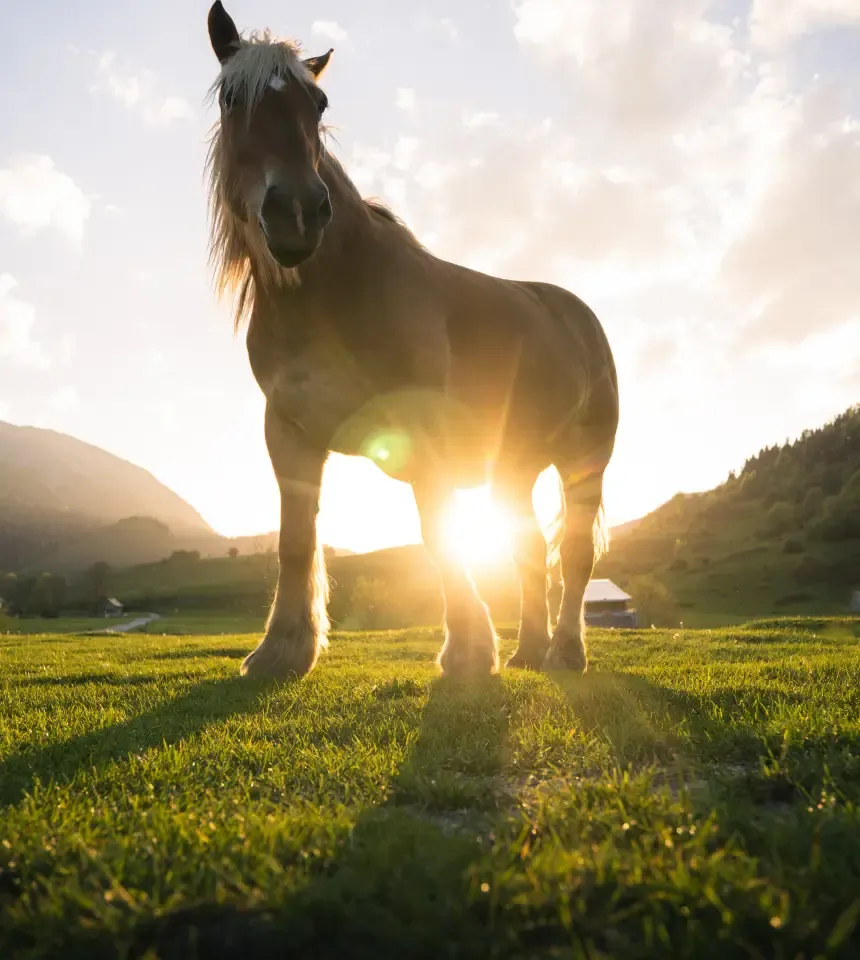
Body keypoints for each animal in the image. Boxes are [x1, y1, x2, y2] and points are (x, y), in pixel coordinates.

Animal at [204, 1, 619, 680]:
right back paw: (530, 650)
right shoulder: (289, 433)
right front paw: (282, 649)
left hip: (586, 457)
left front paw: (470, 650)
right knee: (530, 548)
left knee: (576, 554)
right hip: (514, 467)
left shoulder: (421, 430)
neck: (331, 293)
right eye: (231, 97)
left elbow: (439, 532)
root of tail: (577, 313)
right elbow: (295, 541)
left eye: (318, 102)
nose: (297, 214)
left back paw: (564, 651)